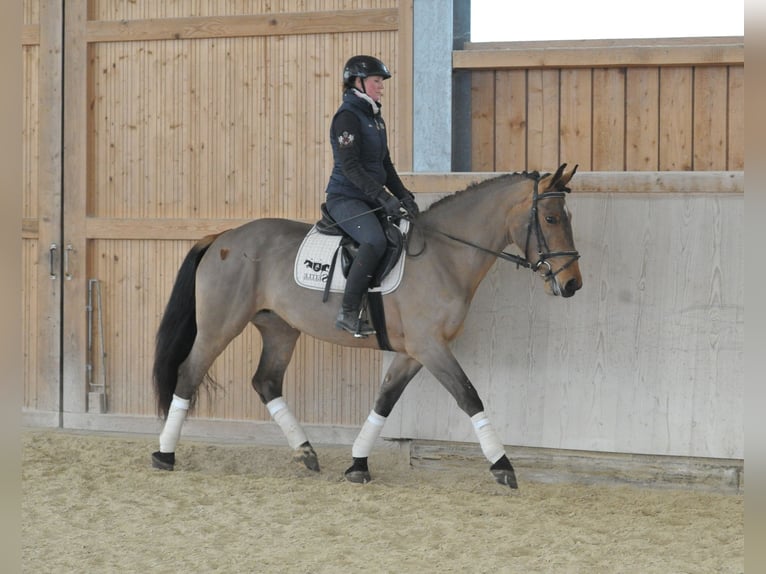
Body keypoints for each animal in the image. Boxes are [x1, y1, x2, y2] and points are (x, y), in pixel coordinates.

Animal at [151, 163, 583, 489]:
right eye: (550, 218)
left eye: (567, 217)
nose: (572, 284)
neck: (444, 256)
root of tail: (222, 236)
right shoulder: (430, 346)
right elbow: (469, 396)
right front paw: (503, 466)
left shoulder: (415, 351)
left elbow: (385, 400)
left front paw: (358, 464)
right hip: (220, 326)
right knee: (188, 374)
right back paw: (164, 455)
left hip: (280, 329)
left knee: (266, 381)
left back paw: (306, 452)